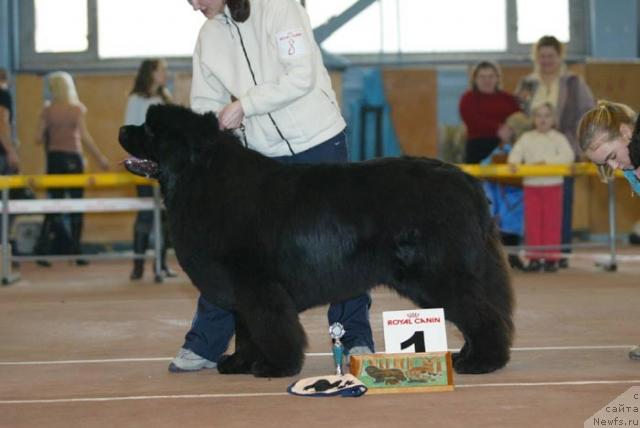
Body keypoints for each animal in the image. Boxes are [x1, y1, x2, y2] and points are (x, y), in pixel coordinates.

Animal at [121, 103, 516, 378]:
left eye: (151, 129)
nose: (124, 128)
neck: (201, 176)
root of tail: (466, 180)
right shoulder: (240, 287)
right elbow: (246, 328)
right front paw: (240, 362)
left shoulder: (258, 286)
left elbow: (269, 326)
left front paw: (276, 366)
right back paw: (469, 356)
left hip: (437, 274)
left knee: (481, 314)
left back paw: (483, 361)